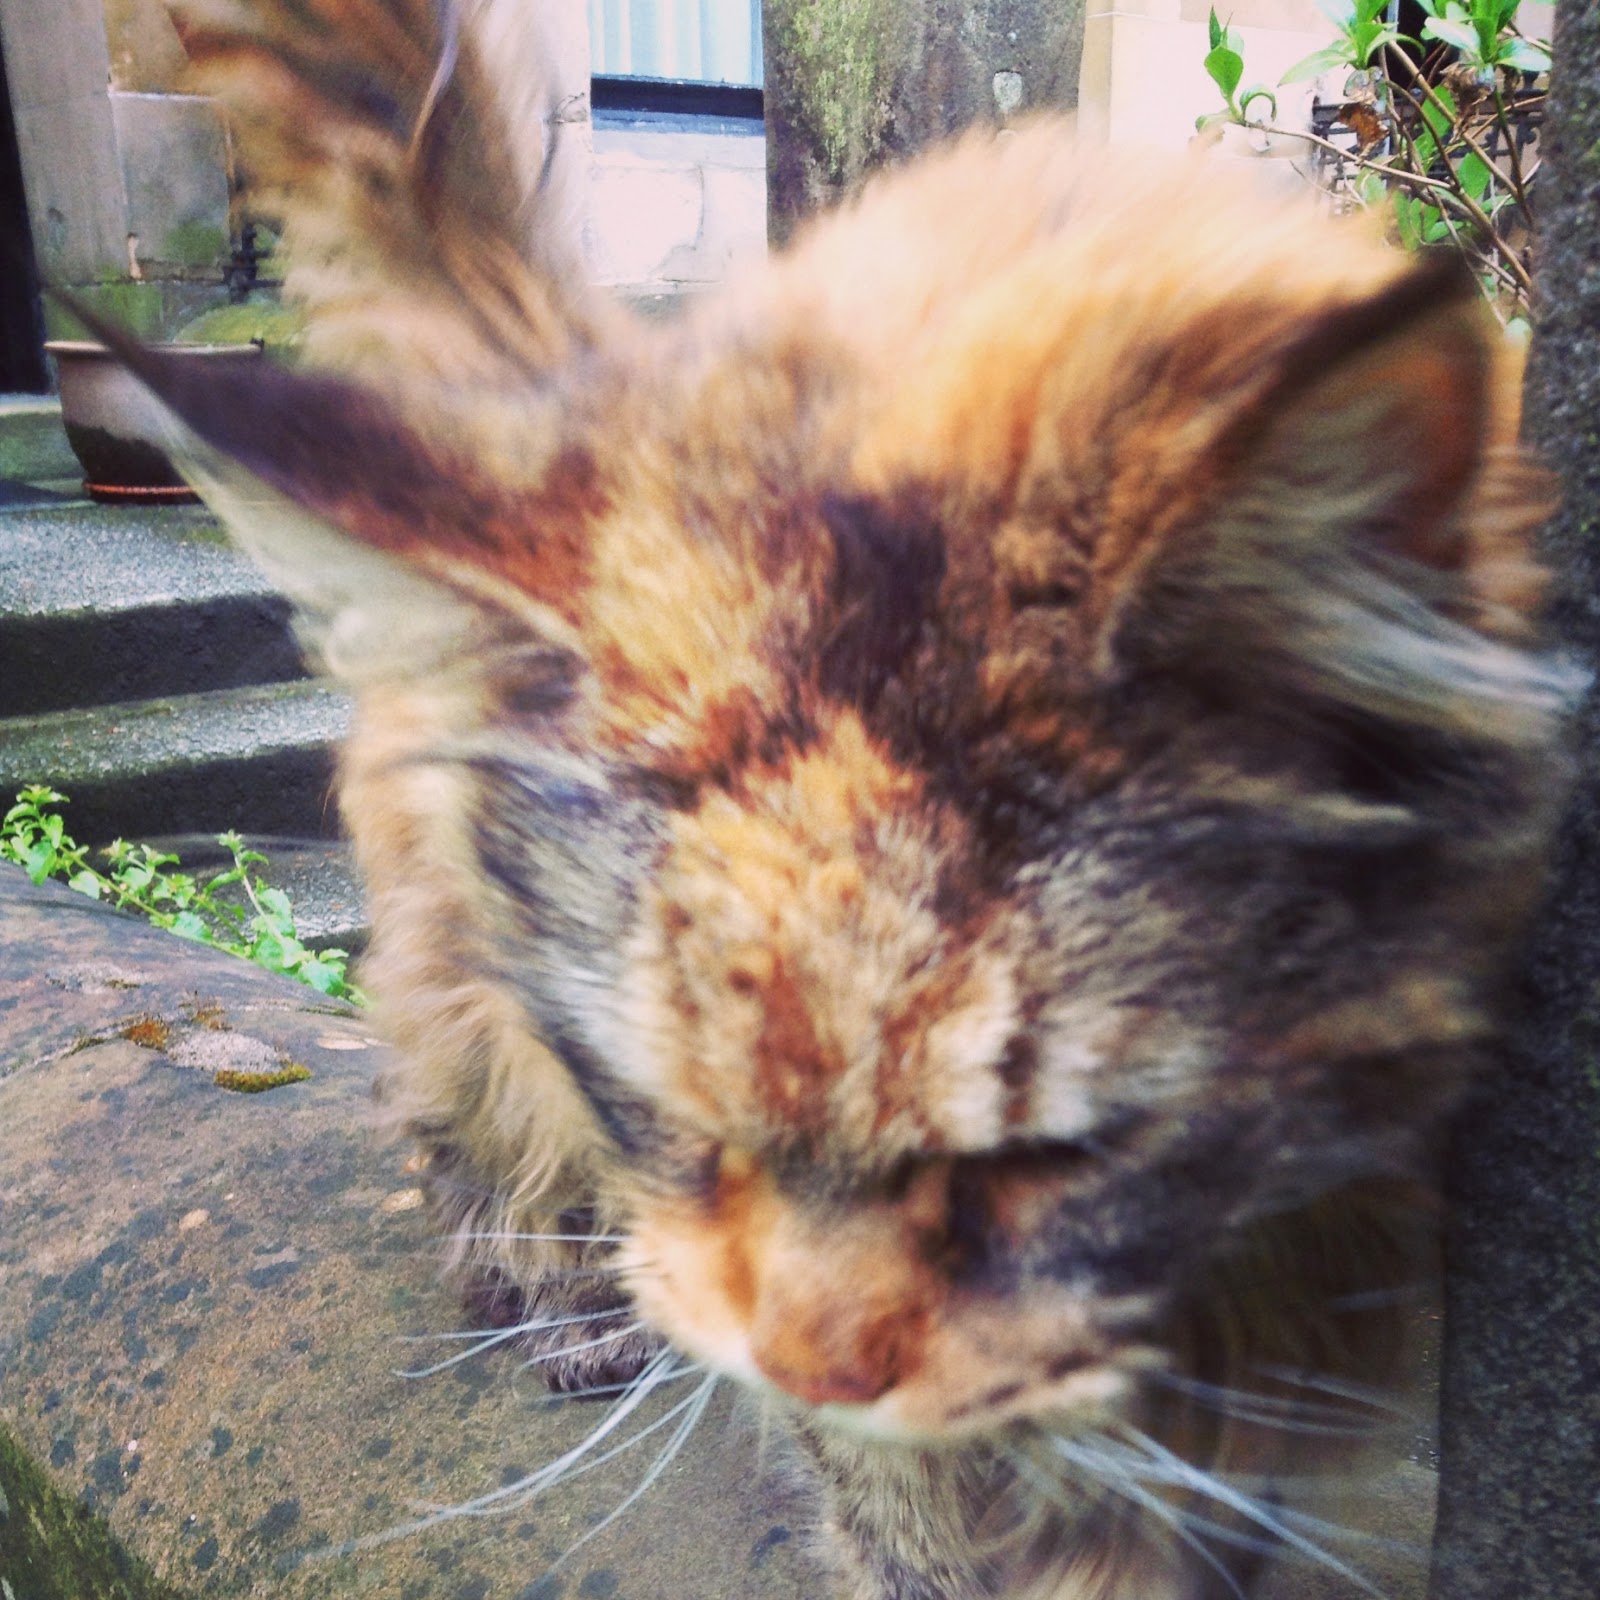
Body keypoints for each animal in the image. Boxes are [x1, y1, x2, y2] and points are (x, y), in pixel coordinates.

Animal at [103, 2, 1578, 1595]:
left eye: (1052, 1157)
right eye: (679, 1123)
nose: (808, 1364)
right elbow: (920, 1507)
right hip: (461, 979)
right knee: (470, 1123)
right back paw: (559, 1300)